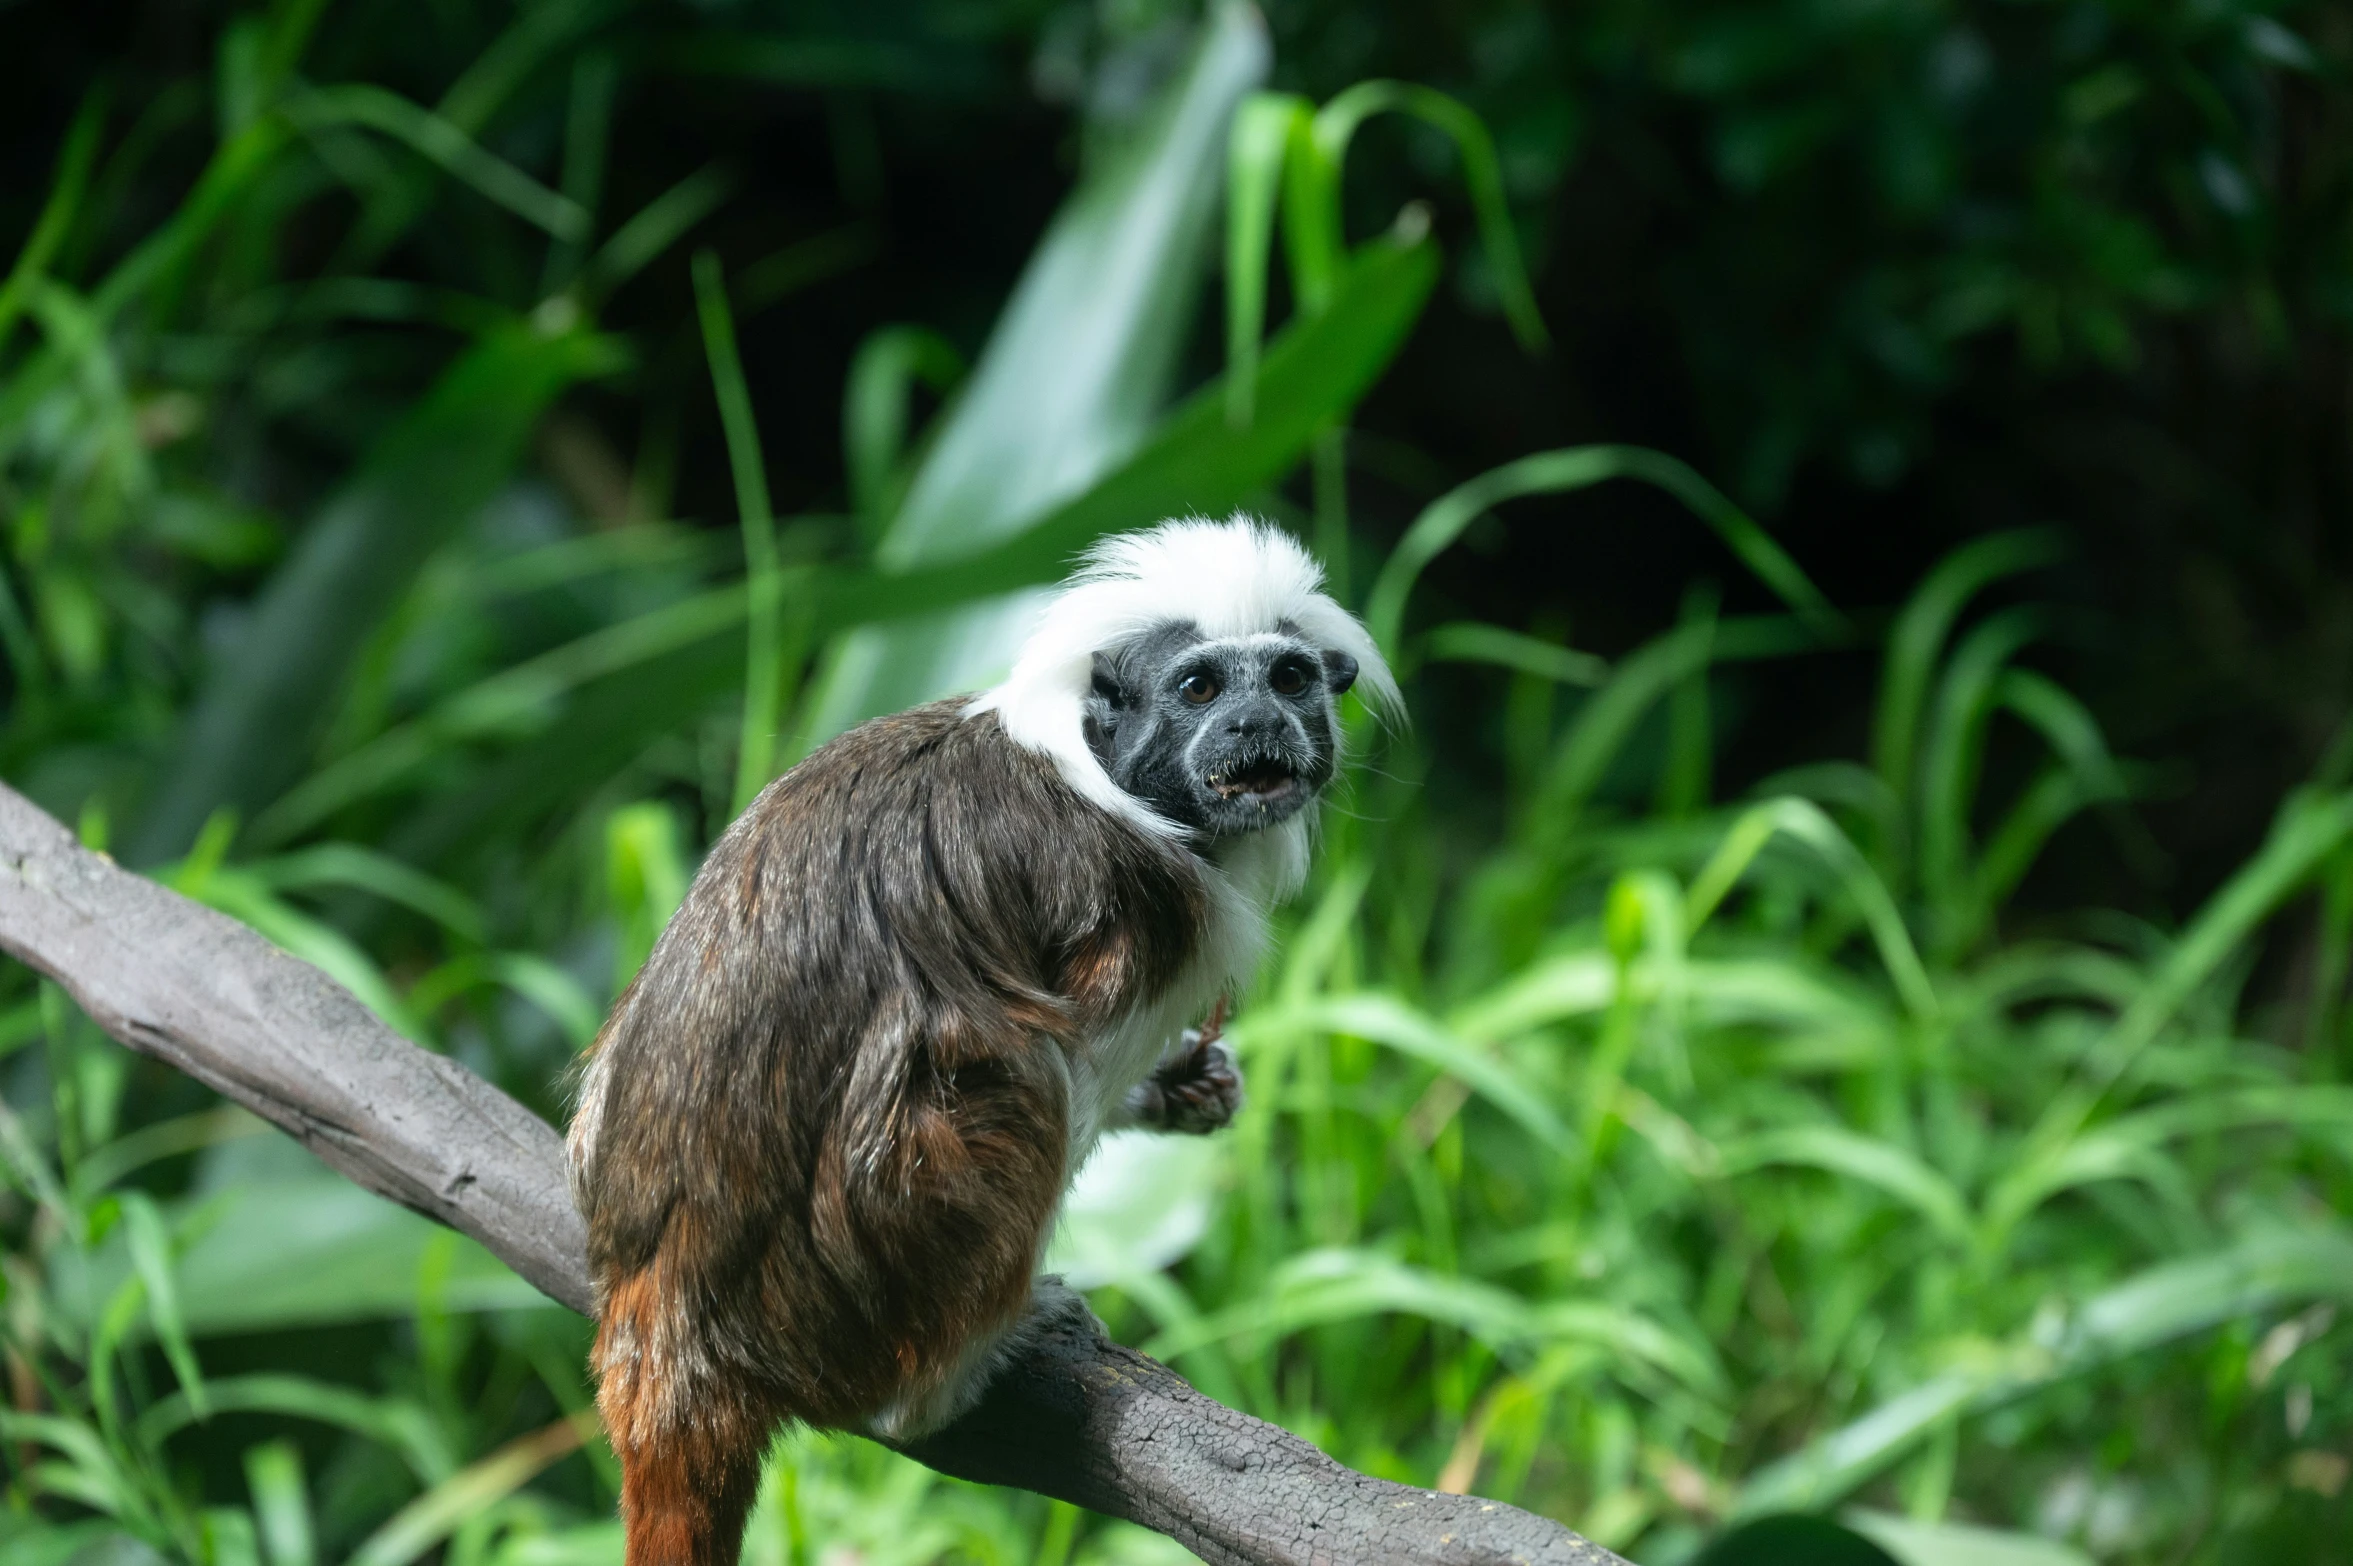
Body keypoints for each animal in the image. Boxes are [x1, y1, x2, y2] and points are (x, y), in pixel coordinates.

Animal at [567, 514, 1392, 1561]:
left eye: (1287, 680)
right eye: (1201, 688)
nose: (1256, 726)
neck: (1101, 771)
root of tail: (672, 1349)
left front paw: (1178, 1090)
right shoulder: (1136, 907)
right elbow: (1076, 1061)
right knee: (1015, 1076)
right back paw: (955, 1373)